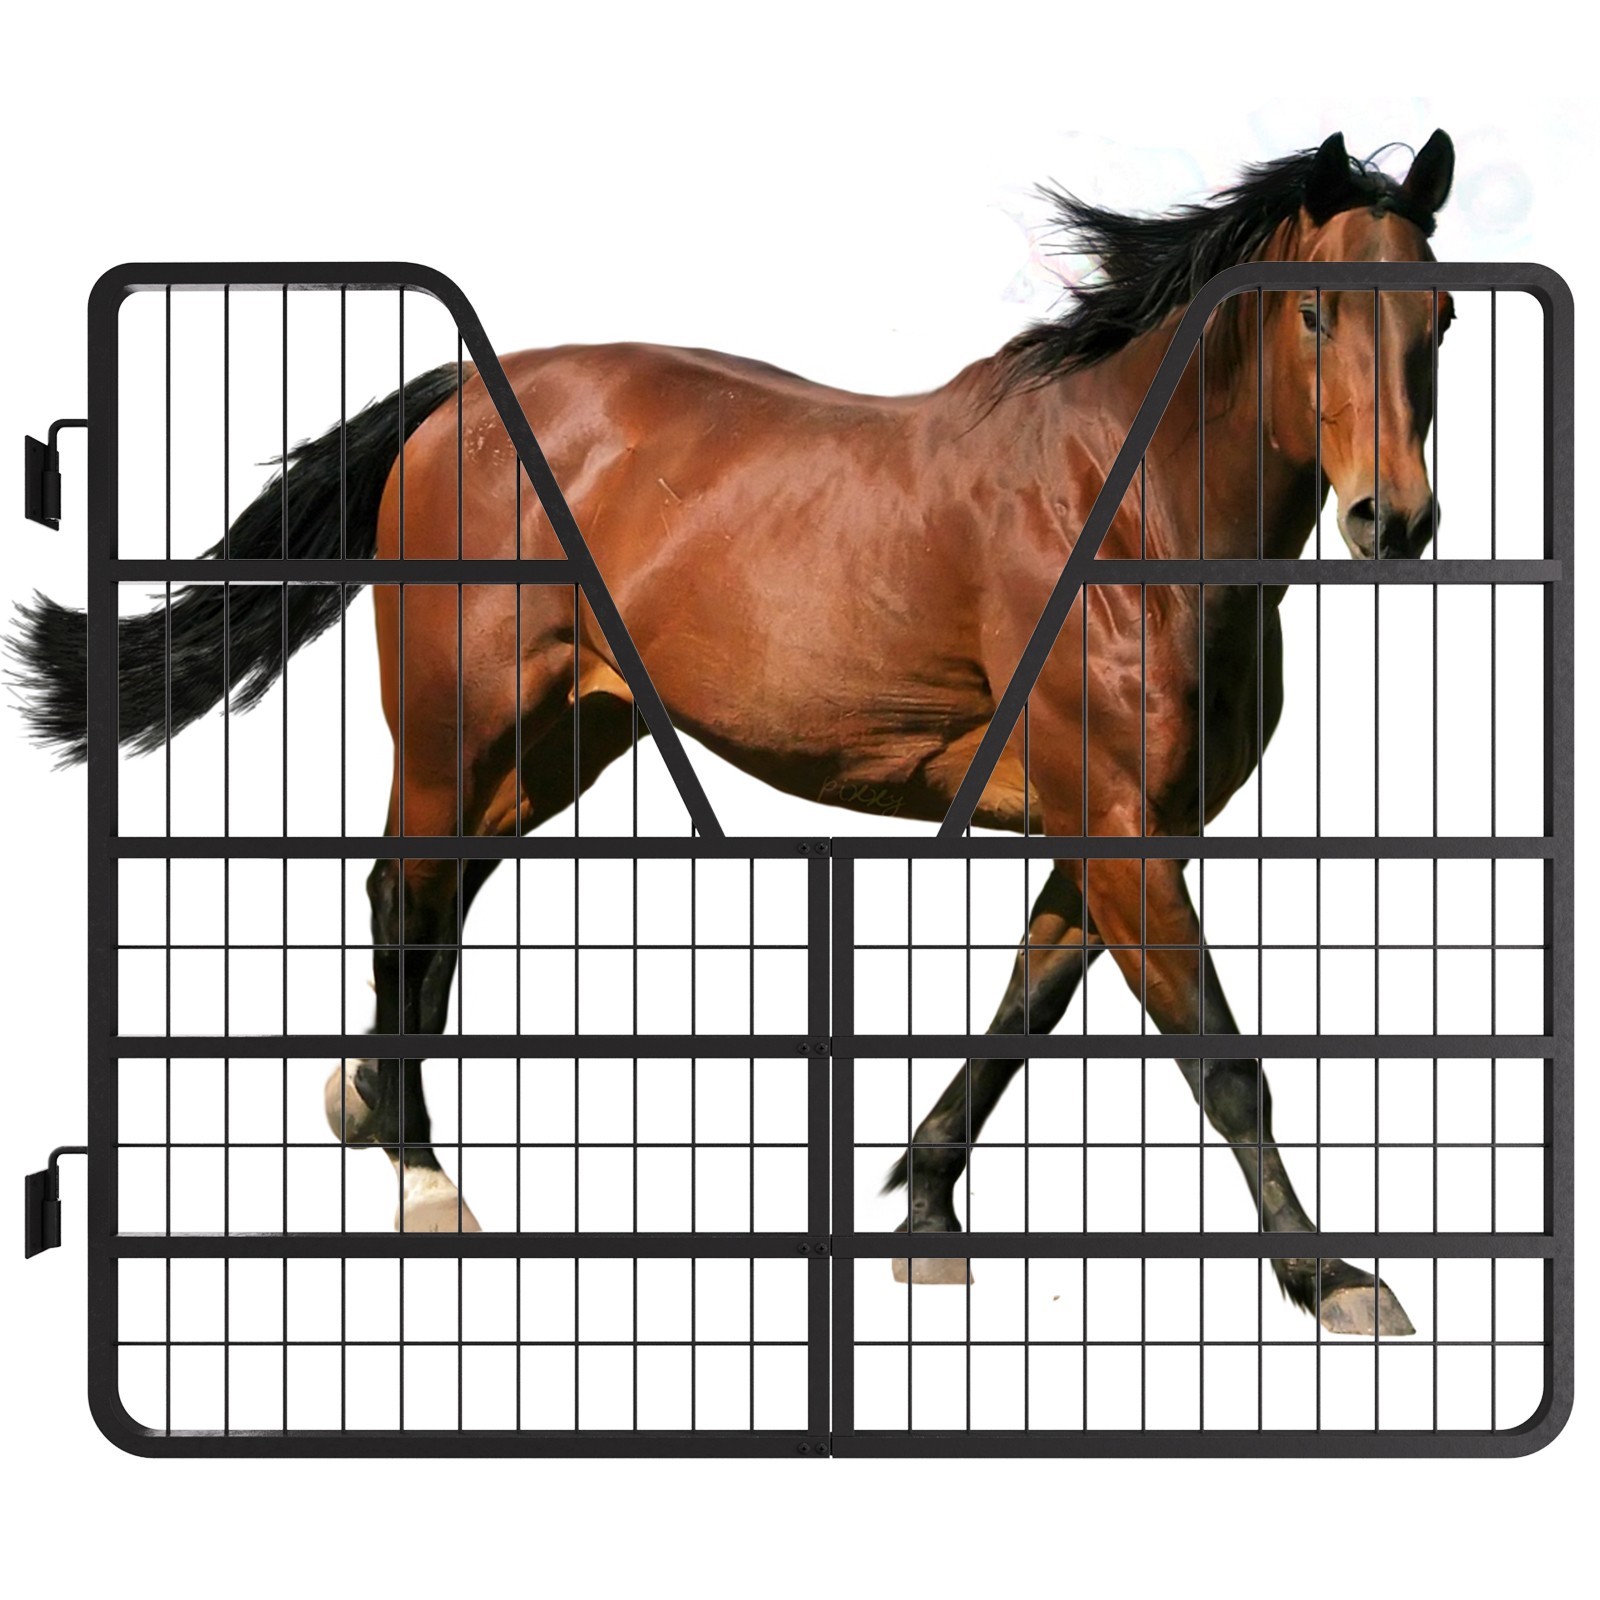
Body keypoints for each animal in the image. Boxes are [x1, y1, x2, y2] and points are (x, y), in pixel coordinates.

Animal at [14, 129, 1455, 1337]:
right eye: (1316, 309)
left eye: (1438, 317)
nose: (1392, 520)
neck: (1122, 506)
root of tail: (459, 399)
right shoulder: (1118, 827)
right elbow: (1225, 1063)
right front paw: (1335, 1279)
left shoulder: (1113, 833)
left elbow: (1022, 1014)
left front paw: (924, 1214)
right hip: (453, 732)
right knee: (405, 896)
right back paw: (422, 1178)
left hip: (557, 745)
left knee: (435, 898)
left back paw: (365, 1104)